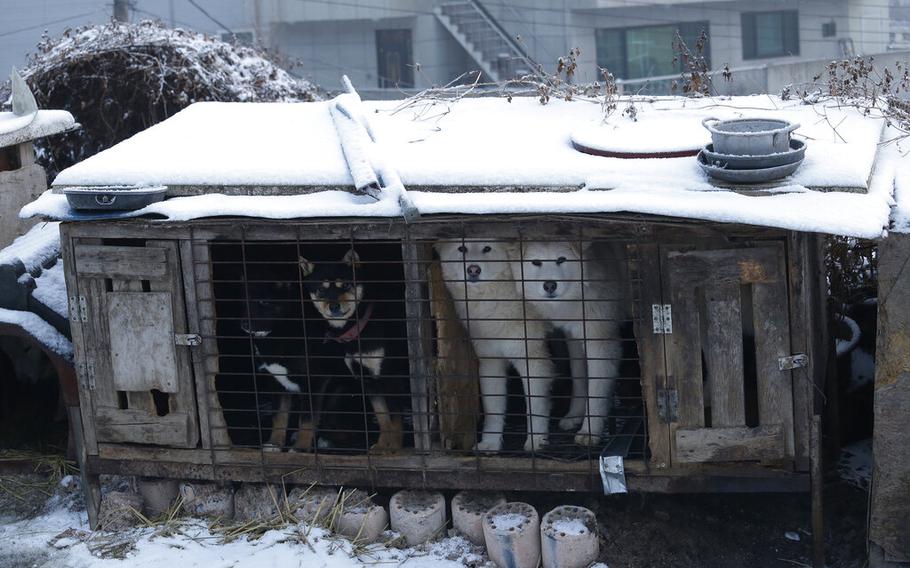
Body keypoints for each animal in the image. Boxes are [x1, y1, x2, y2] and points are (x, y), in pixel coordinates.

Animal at [300, 248, 410, 452]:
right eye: (321, 290)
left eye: (345, 285)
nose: (334, 306)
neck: (360, 326)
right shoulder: (368, 379)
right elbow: (383, 417)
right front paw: (382, 444)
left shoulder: (391, 376)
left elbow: (394, 418)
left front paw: (394, 448)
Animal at [434, 240, 556, 452]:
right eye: (462, 249)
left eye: (487, 248)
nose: (473, 269)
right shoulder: (491, 362)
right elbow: (492, 409)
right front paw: (490, 442)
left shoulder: (532, 360)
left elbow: (535, 406)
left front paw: (536, 441)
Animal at [512, 242, 636, 446]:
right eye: (536, 262)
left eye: (561, 259)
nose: (550, 285)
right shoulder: (574, 336)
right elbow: (579, 377)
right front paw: (574, 415)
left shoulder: (600, 343)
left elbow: (596, 388)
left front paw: (590, 431)